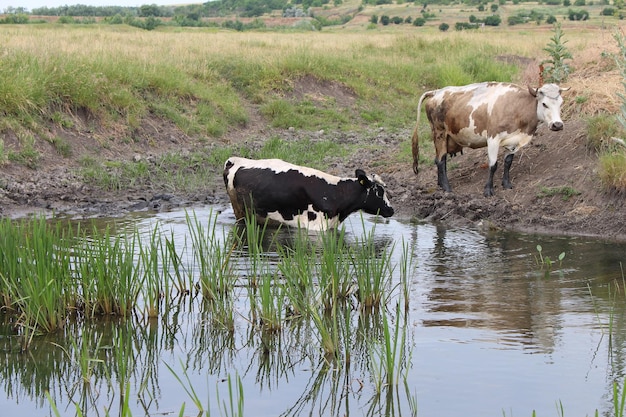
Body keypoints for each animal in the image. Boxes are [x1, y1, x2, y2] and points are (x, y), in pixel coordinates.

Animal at [412, 83, 568, 198]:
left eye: (561, 103)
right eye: (544, 104)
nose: (557, 125)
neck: (517, 106)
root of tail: (437, 92)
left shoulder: (514, 140)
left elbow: (508, 162)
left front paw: (506, 184)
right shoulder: (493, 138)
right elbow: (493, 165)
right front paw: (488, 190)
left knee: (438, 159)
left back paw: (440, 184)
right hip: (439, 132)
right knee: (441, 160)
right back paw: (446, 187)